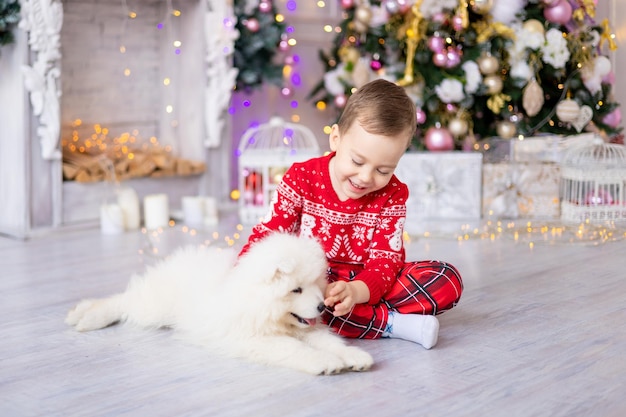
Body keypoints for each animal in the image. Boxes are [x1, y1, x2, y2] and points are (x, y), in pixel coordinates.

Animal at [64, 234, 370, 374]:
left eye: (317, 284)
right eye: (296, 289)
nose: (321, 308)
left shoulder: (304, 328)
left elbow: (329, 341)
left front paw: (353, 356)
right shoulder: (253, 338)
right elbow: (293, 348)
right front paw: (324, 362)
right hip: (156, 306)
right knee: (123, 301)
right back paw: (85, 316)